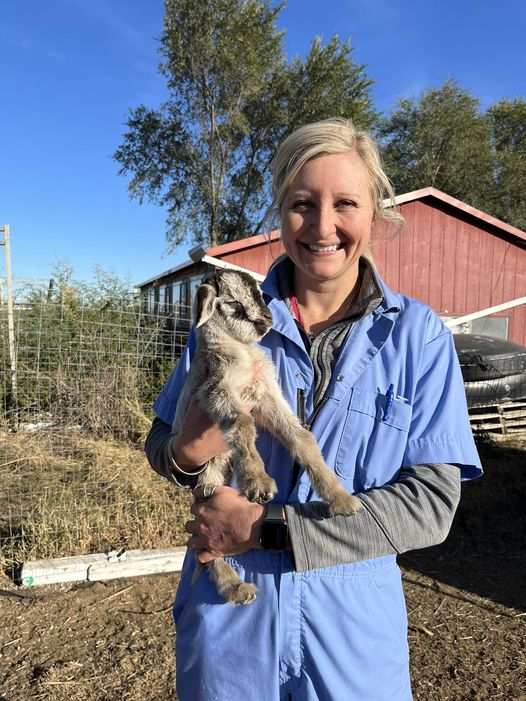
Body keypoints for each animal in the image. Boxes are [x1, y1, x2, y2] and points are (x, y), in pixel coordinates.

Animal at [173, 268, 364, 600]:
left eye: (261, 295)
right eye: (234, 303)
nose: (266, 321)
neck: (239, 349)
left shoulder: (267, 398)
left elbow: (301, 438)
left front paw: (342, 500)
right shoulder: (218, 390)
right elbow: (243, 425)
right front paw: (258, 484)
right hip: (208, 484)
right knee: (204, 551)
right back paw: (236, 588)